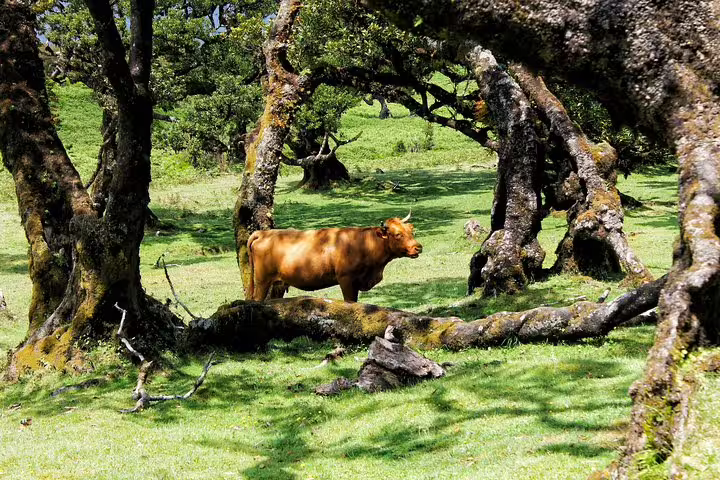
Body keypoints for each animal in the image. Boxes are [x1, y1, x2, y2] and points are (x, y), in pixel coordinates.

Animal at [246, 211, 423, 302]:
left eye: (411, 230)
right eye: (398, 234)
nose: (418, 247)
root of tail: (264, 233)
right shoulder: (346, 279)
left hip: (276, 284)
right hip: (262, 281)